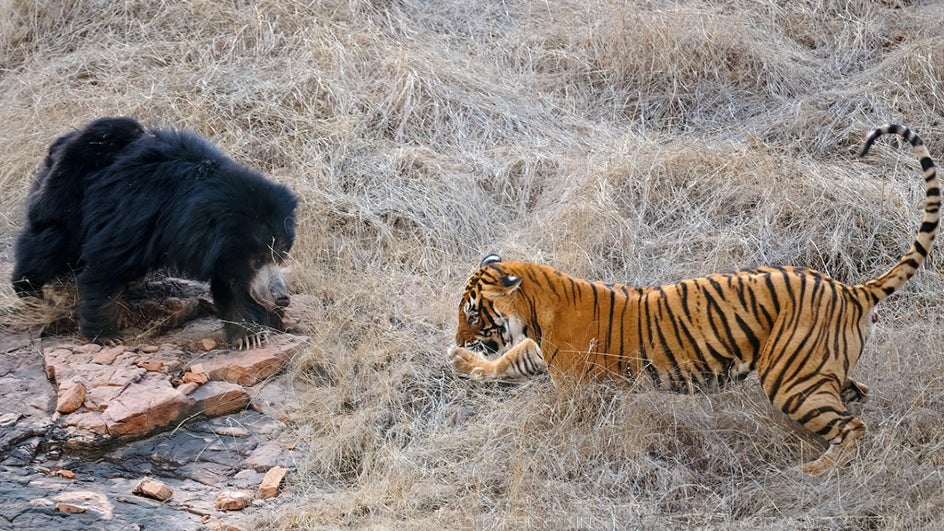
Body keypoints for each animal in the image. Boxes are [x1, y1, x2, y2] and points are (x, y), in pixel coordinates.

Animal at [12, 117, 298, 344]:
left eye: (280, 255)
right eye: (257, 259)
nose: (282, 298)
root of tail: (61, 143)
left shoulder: (220, 253)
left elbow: (232, 287)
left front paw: (248, 336)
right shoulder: (139, 215)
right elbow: (106, 265)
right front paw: (106, 335)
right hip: (67, 196)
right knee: (50, 244)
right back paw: (27, 289)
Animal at [448, 125, 936, 478]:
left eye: (472, 314)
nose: (459, 338)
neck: (537, 308)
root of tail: (851, 289)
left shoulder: (575, 388)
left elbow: (552, 414)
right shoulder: (537, 350)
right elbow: (508, 360)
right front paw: (463, 362)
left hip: (791, 380)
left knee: (852, 425)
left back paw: (816, 469)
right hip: (816, 371)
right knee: (856, 395)